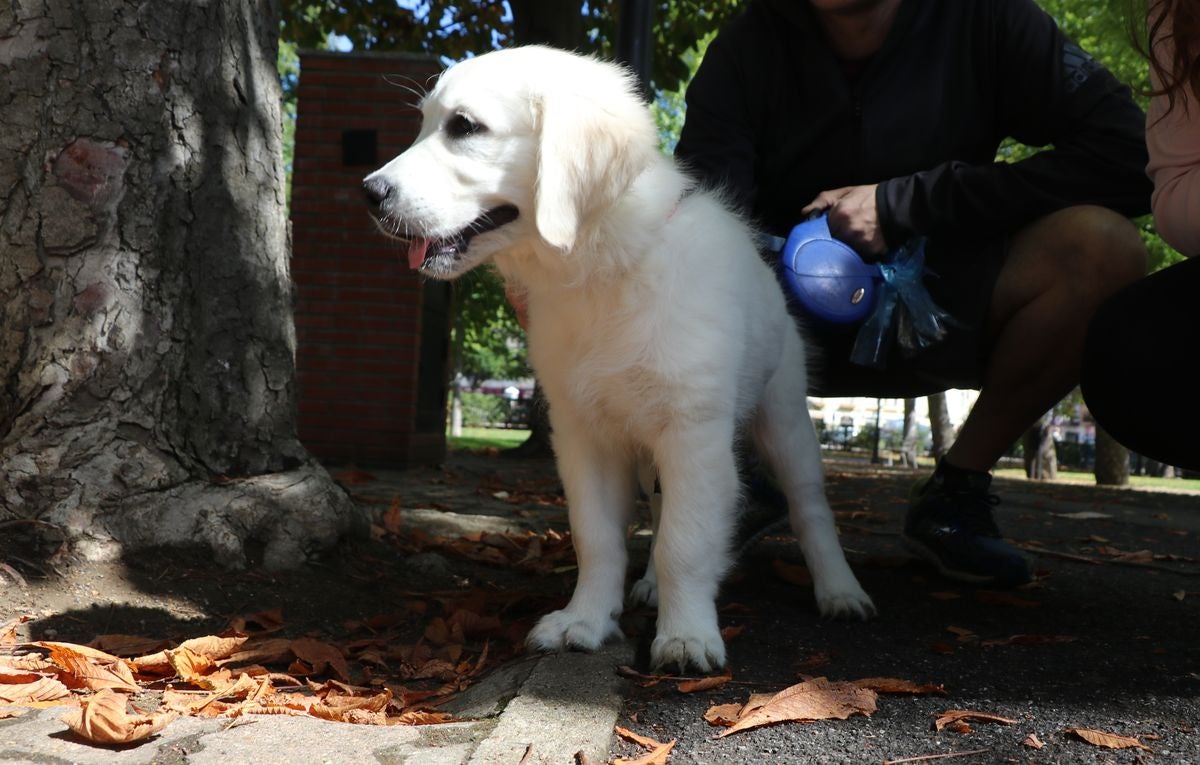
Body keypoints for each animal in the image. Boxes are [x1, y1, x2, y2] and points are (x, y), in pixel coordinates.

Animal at [362, 46, 873, 671]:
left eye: (464, 127)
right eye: (424, 124)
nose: (369, 193)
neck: (602, 270)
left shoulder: (693, 434)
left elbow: (686, 541)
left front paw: (686, 635)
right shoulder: (584, 434)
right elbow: (599, 537)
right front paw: (585, 620)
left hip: (785, 420)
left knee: (809, 508)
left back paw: (840, 590)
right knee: (658, 509)